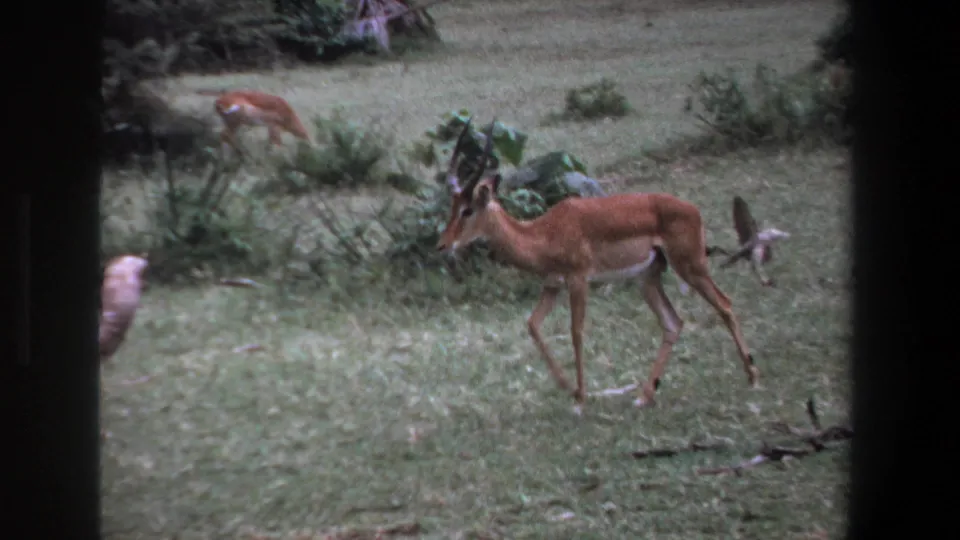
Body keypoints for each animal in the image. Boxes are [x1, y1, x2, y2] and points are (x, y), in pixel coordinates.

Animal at [436, 118, 759, 411]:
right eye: (452, 206)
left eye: (468, 209)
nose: (442, 245)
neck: (543, 234)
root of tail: (694, 210)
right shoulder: (553, 284)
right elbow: (533, 325)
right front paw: (568, 387)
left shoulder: (579, 279)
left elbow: (576, 332)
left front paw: (581, 397)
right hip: (647, 278)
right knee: (673, 323)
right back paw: (644, 395)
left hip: (690, 266)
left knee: (725, 304)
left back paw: (752, 377)